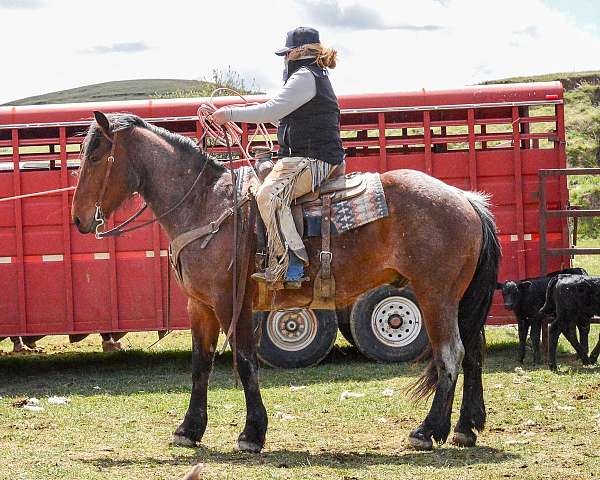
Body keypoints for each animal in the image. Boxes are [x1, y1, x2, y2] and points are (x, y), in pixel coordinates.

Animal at [71, 111, 502, 454]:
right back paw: (465, 428)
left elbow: (245, 362)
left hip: (434, 296)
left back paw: (428, 431)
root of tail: (466, 200)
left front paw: (252, 434)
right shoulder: (201, 306)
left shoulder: (231, 303)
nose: (78, 218)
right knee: (474, 353)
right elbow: (200, 365)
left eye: (94, 156)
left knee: (450, 354)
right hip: (459, 300)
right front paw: (189, 430)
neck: (205, 206)